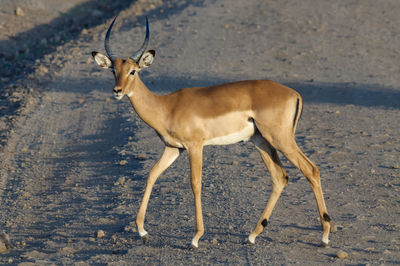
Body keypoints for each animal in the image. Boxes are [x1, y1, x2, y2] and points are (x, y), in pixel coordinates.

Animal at [91, 16, 332, 249]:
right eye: (114, 70)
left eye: (133, 71)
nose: (117, 91)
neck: (166, 107)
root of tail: (294, 93)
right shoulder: (173, 148)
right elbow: (152, 175)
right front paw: (142, 232)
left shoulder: (195, 147)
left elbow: (195, 184)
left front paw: (195, 239)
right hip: (262, 142)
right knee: (280, 177)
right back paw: (252, 235)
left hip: (281, 140)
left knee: (311, 170)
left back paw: (324, 237)